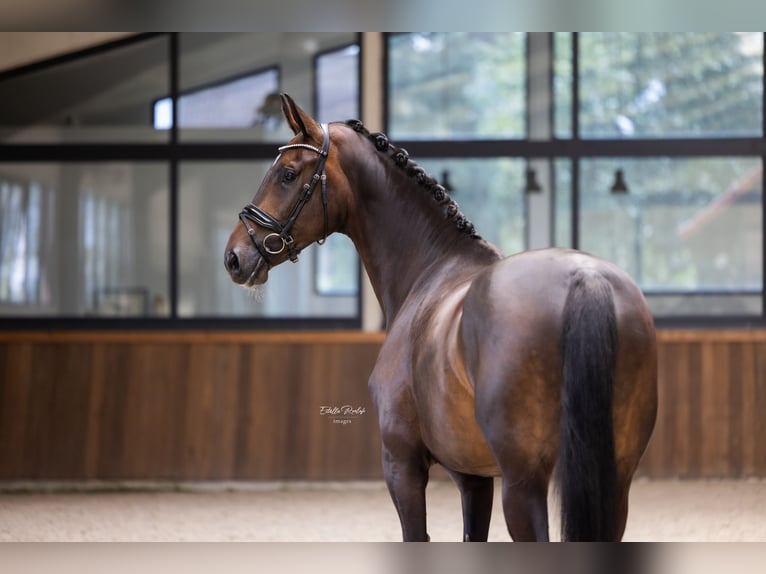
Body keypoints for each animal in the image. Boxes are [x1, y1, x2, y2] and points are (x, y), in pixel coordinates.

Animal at [224, 94, 660, 544]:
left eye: (288, 173)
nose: (235, 257)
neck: (431, 268)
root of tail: (583, 276)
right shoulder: (474, 477)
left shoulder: (403, 464)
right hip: (611, 481)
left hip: (523, 483)